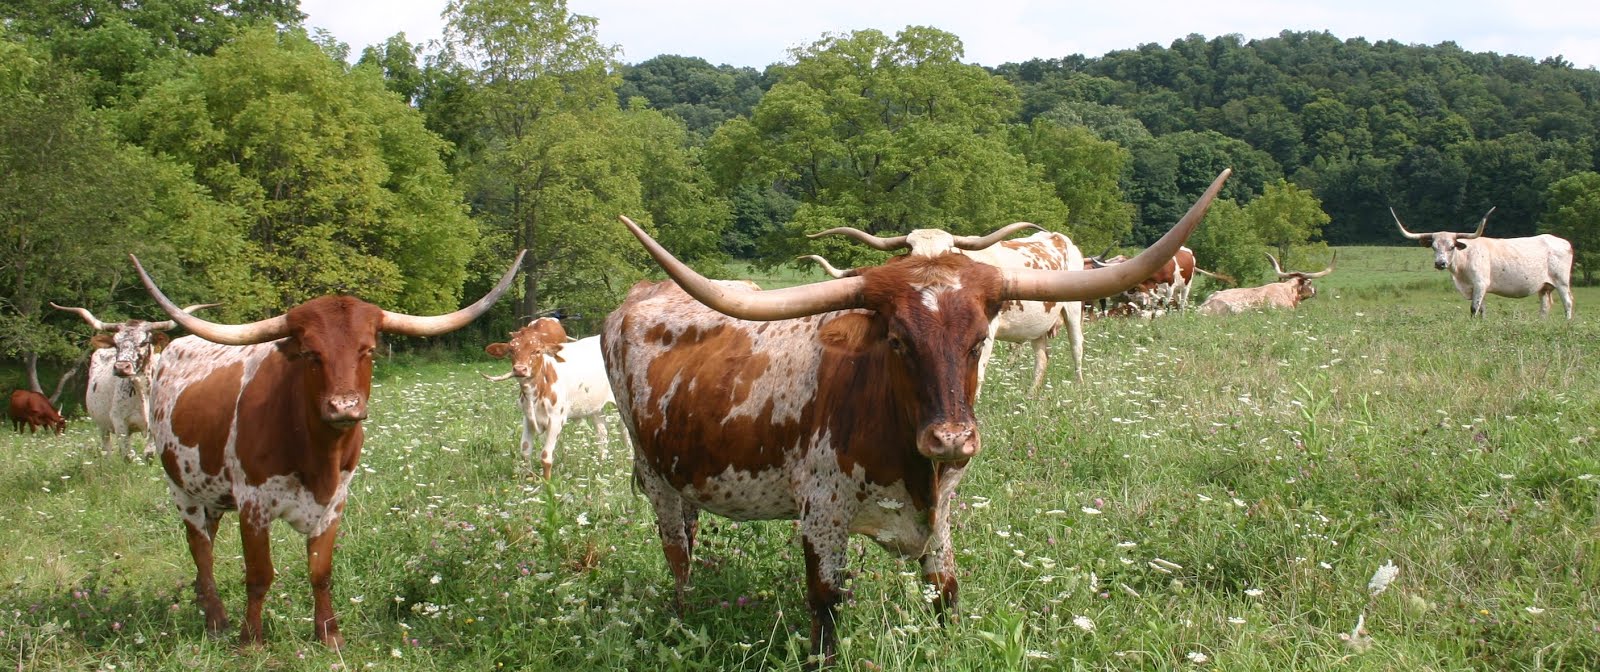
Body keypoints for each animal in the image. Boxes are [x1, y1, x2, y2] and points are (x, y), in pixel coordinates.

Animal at [52, 302, 215, 460]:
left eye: (143, 342)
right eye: (116, 343)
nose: (121, 367)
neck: (143, 391)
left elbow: (149, 454)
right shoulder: (120, 423)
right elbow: (127, 456)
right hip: (102, 426)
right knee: (107, 450)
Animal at [130, 251, 524, 649]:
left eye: (367, 350)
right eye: (310, 354)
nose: (344, 406)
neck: (317, 453)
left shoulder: (335, 501)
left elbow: (321, 571)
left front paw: (329, 633)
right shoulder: (253, 503)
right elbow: (259, 575)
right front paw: (251, 639)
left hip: (210, 492)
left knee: (207, 540)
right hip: (181, 489)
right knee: (200, 548)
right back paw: (215, 618)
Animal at [481, 317, 616, 479]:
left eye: (537, 351)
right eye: (511, 350)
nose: (520, 369)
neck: (534, 394)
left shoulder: (556, 420)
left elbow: (545, 456)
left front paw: (547, 482)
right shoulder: (528, 419)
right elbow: (525, 451)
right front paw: (530, 479)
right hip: (594, 407)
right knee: (602, 432)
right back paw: (601, 465)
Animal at [804, 225, 1084, 396]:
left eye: (948, 252)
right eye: (910, 252)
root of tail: (1059, 237)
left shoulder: (986, 332)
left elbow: (978, 371)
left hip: (1073, 311)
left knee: (1077, 348)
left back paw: (1079, 387)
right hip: (1039, 326)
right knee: (1042, 358)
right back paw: (1030, 395)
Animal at [1392, 207, 1574, 319]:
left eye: (1452, 247)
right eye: (1433, 247)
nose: (1440, 263)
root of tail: (1564, 242)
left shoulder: (1480, 284)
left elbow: (1474, 308)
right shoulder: (1475, 288)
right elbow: (1482, 309)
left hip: (1562, 282)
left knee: (1568, 302)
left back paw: (1567, 323)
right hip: (1544, 286)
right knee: (1544, 307)